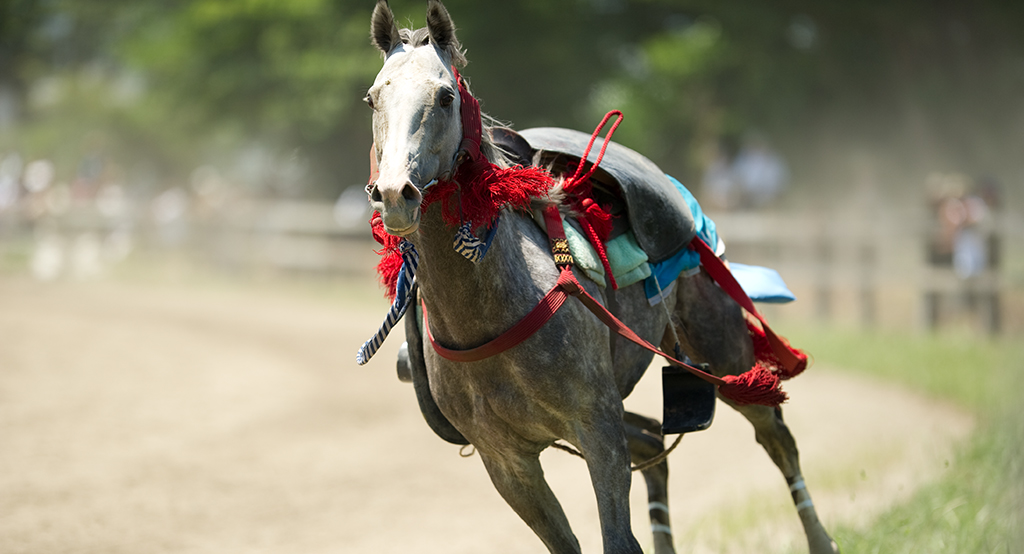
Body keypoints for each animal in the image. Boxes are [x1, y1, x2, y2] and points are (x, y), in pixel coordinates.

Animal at [366, 2, 839, 548]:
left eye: (444, 96)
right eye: (373, 97)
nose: (395, 194)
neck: (490, 312)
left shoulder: (598, 428)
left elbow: (618, 538)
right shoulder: (506, 460)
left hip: (724, 354)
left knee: (775, 435)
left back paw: (820, 538)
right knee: (655, 446)